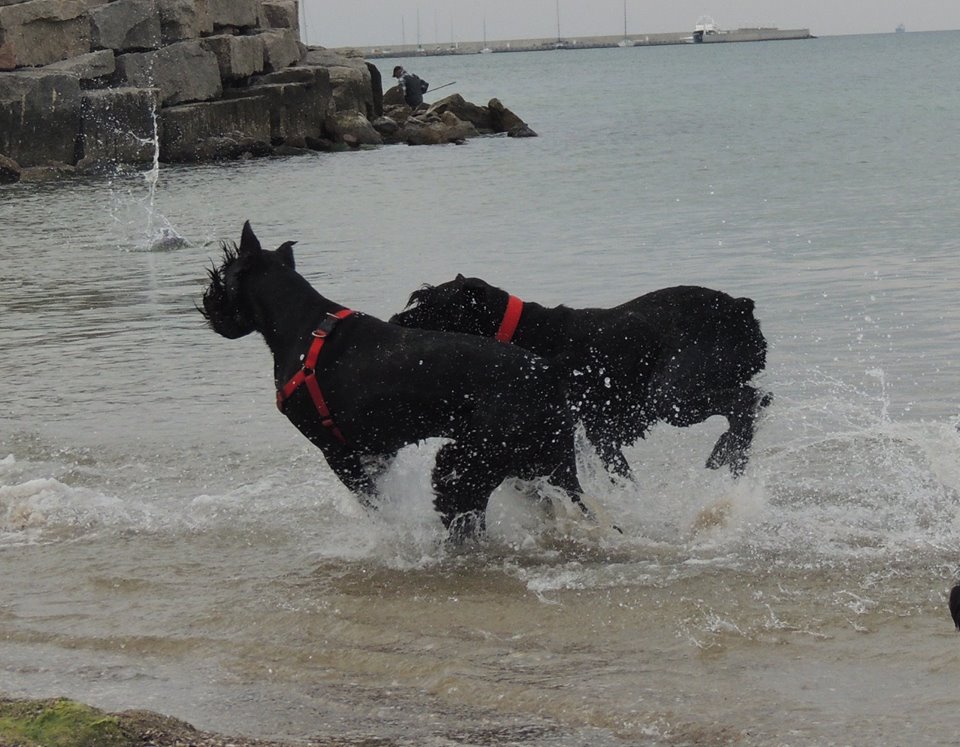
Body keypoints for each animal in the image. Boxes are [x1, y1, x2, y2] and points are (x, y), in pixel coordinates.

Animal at [199, 223, 588, 540]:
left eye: (221, 275)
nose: (208, 304)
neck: (301, 324)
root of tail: (549, 373)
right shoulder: (378, 452)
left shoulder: (337, 452)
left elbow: (375, 505)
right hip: (540, 462)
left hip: (467, 464)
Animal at [391, 276, 771, 478]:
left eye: (432, 303)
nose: (395, 321)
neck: (528, 332)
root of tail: (741, 308)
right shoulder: (594, 431)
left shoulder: (596, 427)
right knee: (755, 401)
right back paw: (726, 453)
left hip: (671, 397)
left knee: (746, 401)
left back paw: (729, 455)